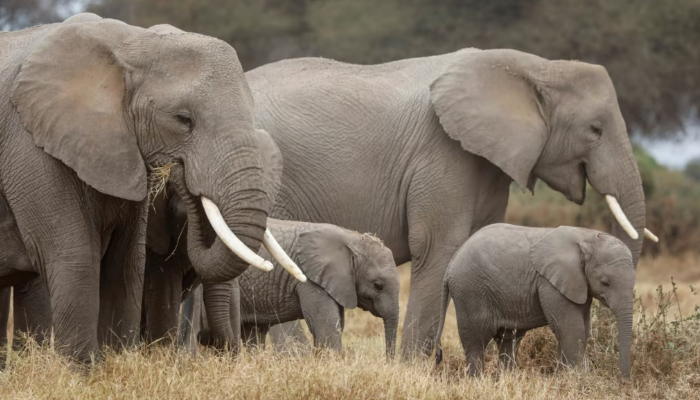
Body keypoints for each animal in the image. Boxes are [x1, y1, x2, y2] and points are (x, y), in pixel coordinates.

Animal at [0, 13, 298, 362]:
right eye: (184, 120)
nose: (180, 173)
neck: (133, 43)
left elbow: (126, 264)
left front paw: (119, 363)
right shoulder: (30, 147)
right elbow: (76, 257)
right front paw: (83, 373)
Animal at [193, 219, 400, 356]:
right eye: (378, 286)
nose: (387, 362)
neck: (351, 239)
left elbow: (335, 324)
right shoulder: (310, 279)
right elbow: (326, 327)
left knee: (254, 333)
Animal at [434, 225, 636, 378]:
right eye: (605, 282)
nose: (623, 378)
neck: (585, 236)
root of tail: (451, 264)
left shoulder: (578, 284)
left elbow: (583, 329)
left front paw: (564, 377)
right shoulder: (550, 283)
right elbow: (571, 327)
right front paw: (576, 379)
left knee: (509, 339)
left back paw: (508, 379)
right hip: (470, 291)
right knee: (476, 340)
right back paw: (477, 380)